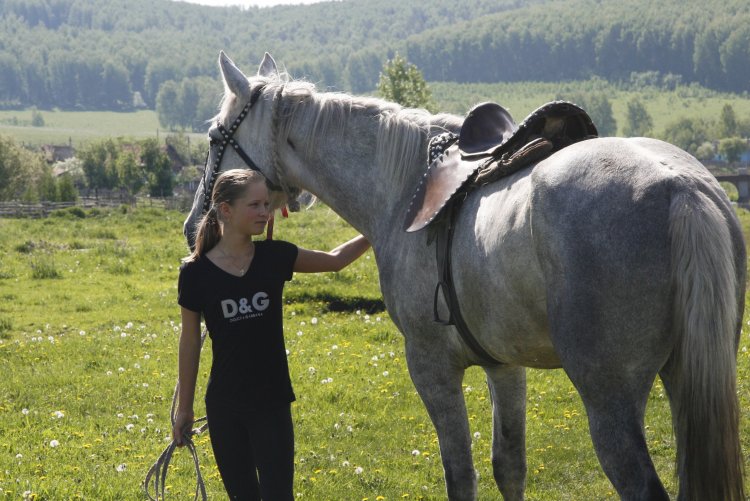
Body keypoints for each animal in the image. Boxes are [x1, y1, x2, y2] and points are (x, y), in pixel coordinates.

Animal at [183, 52, 746, 501]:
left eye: (213, 137)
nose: (195, 226)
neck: (403, 187)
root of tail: (682, 188)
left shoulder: (432, 368)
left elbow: (461, 475)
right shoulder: (505, 366)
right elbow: (509, 467)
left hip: (609, 398)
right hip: (685, 380)